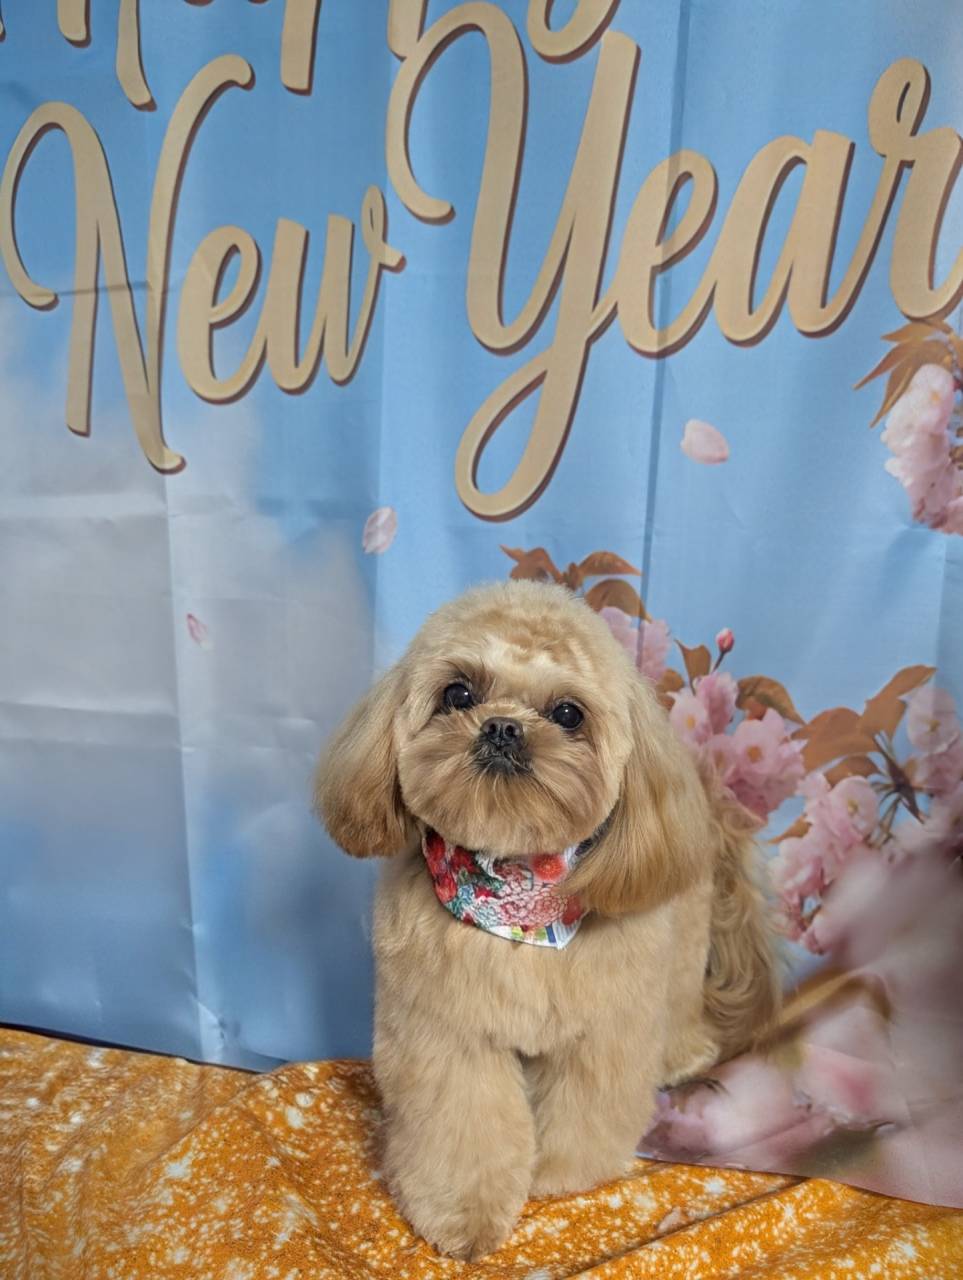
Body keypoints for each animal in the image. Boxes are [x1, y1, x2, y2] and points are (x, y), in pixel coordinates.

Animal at [315, 580, 780, 1260]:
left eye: (567, 713)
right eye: (458, 694)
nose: (503, 727)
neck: (518, 905)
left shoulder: (605, 1030)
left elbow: (586, 1107)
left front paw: (562, 1174)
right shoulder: (446, 1033)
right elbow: (462, 1124)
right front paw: (464, 1213)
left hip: (683, 939)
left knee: (678, 1001)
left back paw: (682, 1053)